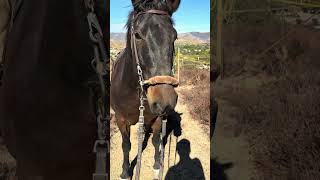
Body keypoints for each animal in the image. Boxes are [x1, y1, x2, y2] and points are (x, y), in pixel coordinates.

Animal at [110, 0, 180, 179]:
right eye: (137, 35)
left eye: (175, 36)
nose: (165, 100)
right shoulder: (120, 120)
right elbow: (126, 145)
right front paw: (125, 171)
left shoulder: (157, 118)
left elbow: (156, 140)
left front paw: (156, 165)